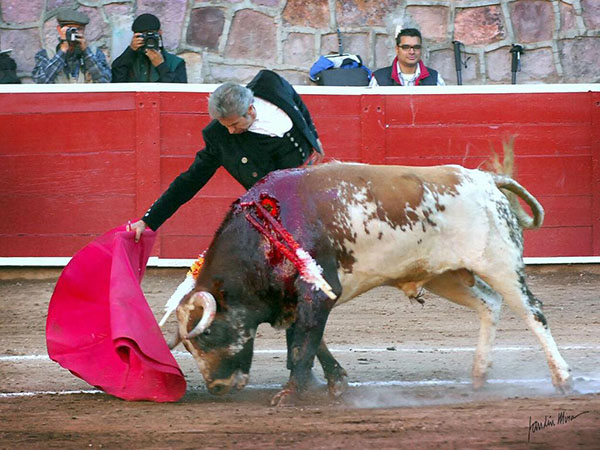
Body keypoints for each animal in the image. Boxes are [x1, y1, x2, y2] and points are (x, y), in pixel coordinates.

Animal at [168, 160, 572, 406]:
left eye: (207, 333)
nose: (216, 388)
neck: (265, 229)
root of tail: (486, 179)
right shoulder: (297, 300)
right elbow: (314, 342)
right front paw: (335, 382)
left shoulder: (317, 293)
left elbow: (303, 345)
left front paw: (290, 394)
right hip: (447, 277)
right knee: (490, 304)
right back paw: (479, 374)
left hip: (501, 264)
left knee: (533, 312)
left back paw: (563, 378)